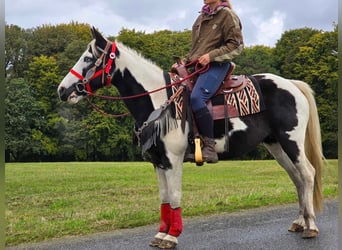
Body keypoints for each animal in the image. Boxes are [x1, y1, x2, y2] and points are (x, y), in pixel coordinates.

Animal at [58, 27, 324, 250]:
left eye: (88, 58)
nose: (62, 90)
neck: (159, 101)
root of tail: (291, 84)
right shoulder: (159, 162)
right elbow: (165, 198)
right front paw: (161, 233)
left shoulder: (173, 160)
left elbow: (175, 196)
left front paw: (172, 235)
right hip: (276, 145)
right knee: (297, 178)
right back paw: (299, 222)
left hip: (292, 142)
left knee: (307, 174)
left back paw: (311, 226)